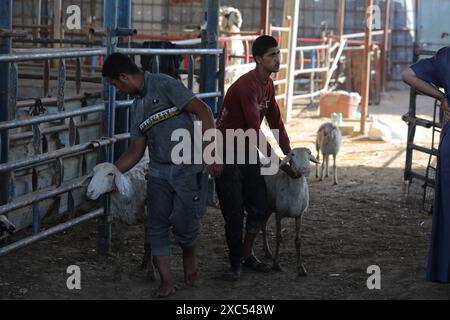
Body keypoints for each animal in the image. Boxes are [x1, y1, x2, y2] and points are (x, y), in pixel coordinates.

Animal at [260, 148, 320, 276]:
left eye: (309, 153)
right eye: (292, 154)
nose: (304, 169)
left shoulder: (299, 216)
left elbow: (298, 241)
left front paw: (301, 268)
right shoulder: (279, 214)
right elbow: (279, 237)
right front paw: (276, 264)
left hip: (268, 207)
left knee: (263, 224)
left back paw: (267, 251)